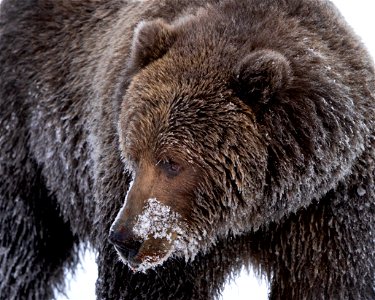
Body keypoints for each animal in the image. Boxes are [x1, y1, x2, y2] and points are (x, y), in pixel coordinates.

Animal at [0, 0, 375, 298]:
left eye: (171, 162)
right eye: (133, 156)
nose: (124, 239)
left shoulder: (328, 203)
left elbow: (328, 279)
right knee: (20, 247)